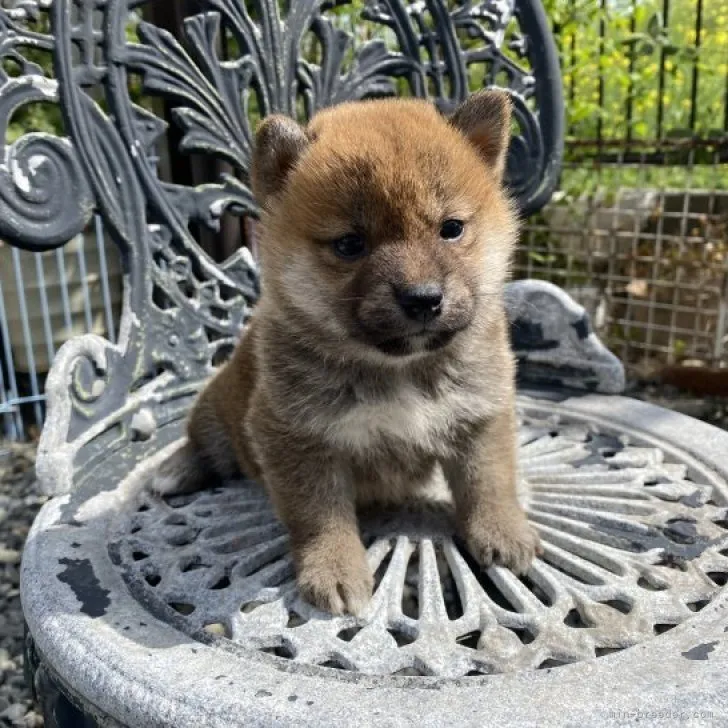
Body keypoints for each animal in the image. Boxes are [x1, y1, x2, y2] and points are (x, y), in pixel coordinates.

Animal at [154, 89, 540, 616]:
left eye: (451, 228)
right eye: (350, 244)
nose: (423, 298)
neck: (398, 369)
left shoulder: (479, 413)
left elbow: (489, 479)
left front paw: (502, 531)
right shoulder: (295, 436)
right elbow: (320, 513)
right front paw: (334, 568)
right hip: (216, 411)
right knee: (203, 443)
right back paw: (176, 469)